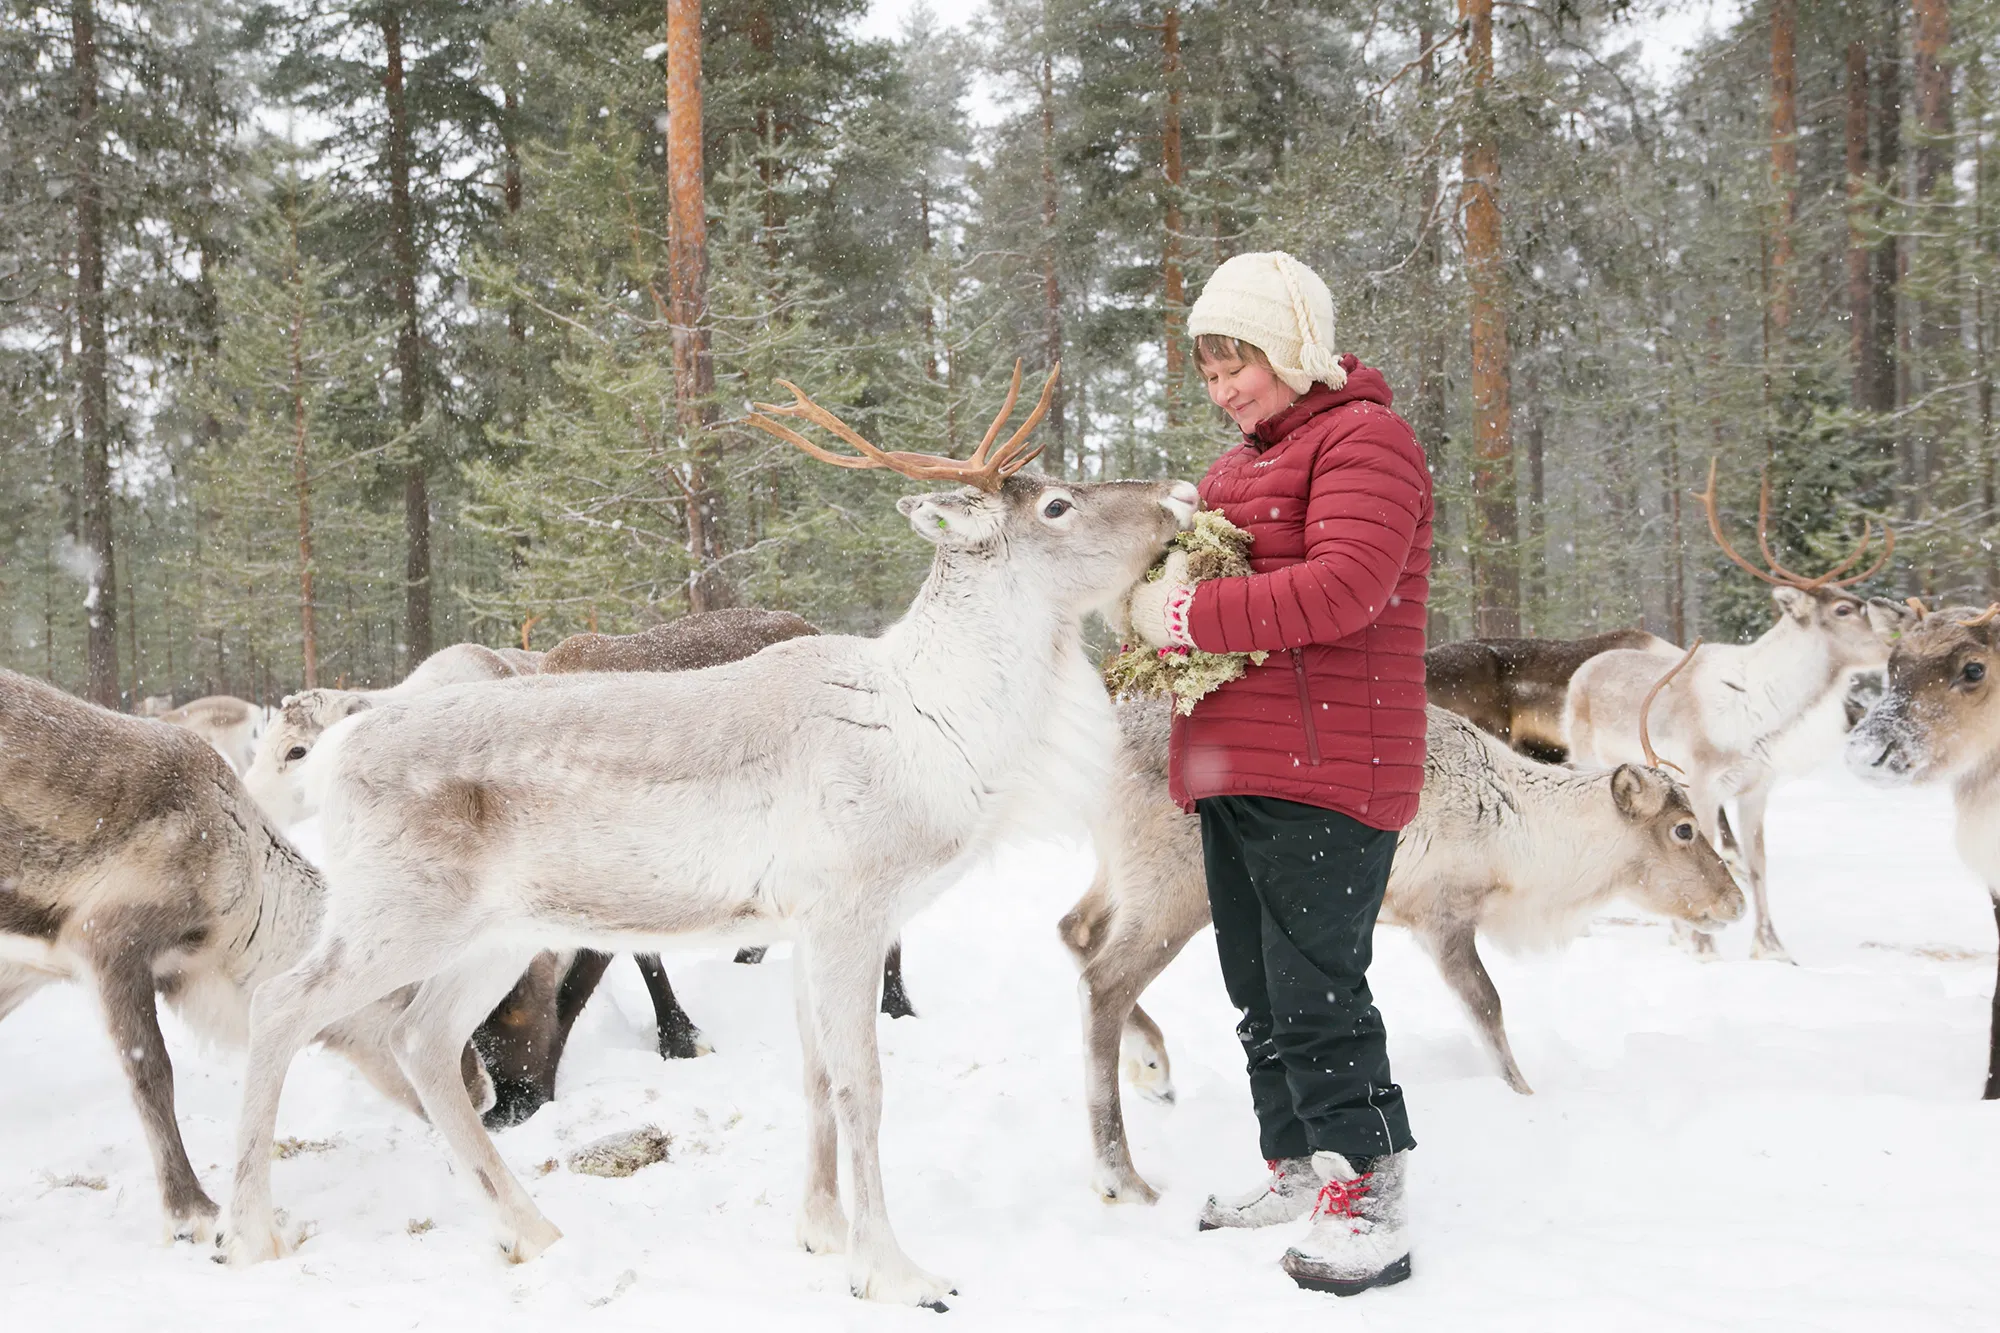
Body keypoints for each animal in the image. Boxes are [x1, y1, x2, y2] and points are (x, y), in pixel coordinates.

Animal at [0, 668, 489, 1244]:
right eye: (406, 997)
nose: (484, 1095)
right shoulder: (107, 942)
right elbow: (152, 1077)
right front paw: (190, 1209)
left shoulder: (29, 965)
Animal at [218, 363, 1200, 1309]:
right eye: (1057, 503)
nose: (1182, 492)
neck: (945, 723)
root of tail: (331, 758)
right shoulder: (850, 907)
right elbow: (864, 1085)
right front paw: (896, 1270)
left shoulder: (805, 923)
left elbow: (814, 1077)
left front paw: (821, 1230)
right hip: (397, 910)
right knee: (284, 1004)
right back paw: (251, 1231)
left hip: (494, 932)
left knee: (421, 1038)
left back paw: (530, 1230)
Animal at [1062, 688, 1742, 1204]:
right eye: (1684, 830)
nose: (1734, 903)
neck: (1521, 835)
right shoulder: (1443, 915)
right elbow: (1487, 1006)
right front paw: (1525, 1098)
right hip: (1177, 886)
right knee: (1105, 981)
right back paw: (1122, 1177)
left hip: (1124, 874)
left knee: (1077, 928)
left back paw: (1152, 1067)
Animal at [1563, 461, 1908, 961]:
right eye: (1845, 609)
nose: (1898, 629)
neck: (1763, 714)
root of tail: (1583, 672)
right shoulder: (1703, 782)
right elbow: (1703, 847)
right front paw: (1705, 946)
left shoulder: (1756, 788)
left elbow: (1758, 863)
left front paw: (1772, 948)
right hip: (1586, 758)